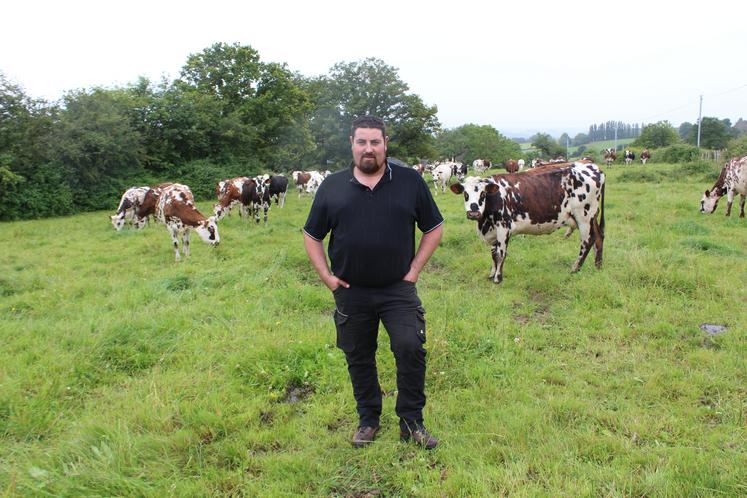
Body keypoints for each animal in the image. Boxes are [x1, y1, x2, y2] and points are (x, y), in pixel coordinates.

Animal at [450, 161, 608, 282]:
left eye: (483, 193)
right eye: (465, 194)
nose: (473, 212)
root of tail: (593, 167)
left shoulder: (503, 227)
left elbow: (501, 254)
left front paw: (498, 278)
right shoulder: (494, 231)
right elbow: (494, 254)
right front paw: (492, 274)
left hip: (584, 216)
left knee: (587, 241)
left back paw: (575, 269)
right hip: (592, 216)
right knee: (598, 237)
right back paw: (598, 266)